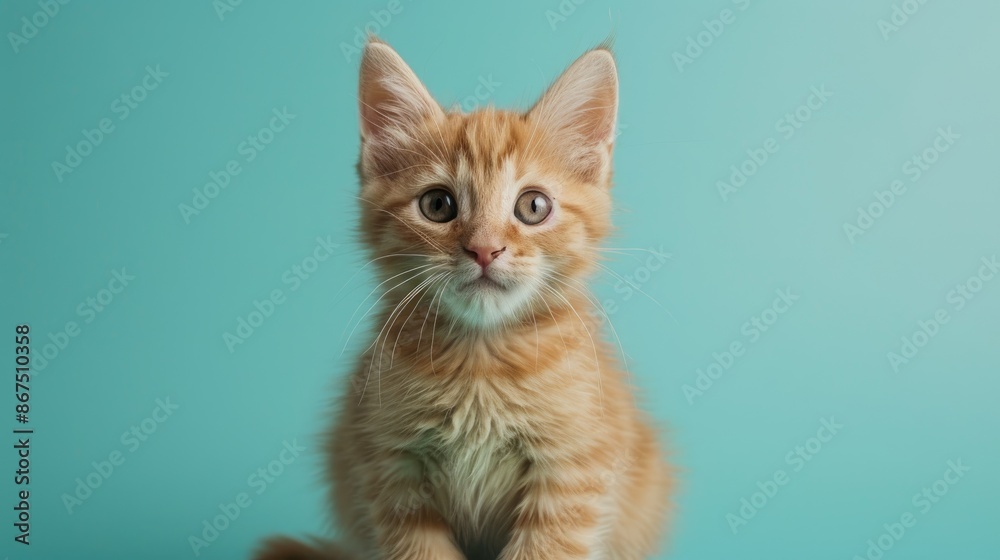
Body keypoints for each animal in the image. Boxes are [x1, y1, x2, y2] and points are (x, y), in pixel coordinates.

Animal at [254, 39, 676, 560]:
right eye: (438, 205)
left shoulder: (572, 473)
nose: (484, 249)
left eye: (533, 206)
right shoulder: (389, 470)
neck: (481, 363)